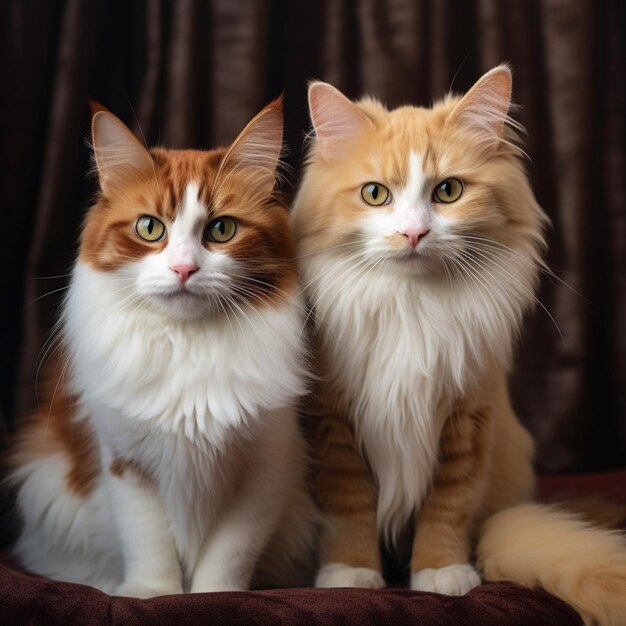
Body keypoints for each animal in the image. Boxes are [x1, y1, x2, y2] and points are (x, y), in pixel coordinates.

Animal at [7, 97, 314, 596]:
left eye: (222, 230)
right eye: (150, 229)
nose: (184, 269)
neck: (188, 345)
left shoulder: (266, 466)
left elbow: (230, 553)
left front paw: (213, 596)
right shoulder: (125, 464)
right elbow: (147, 540)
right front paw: (151, 593)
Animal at [292, 66, 624, 620]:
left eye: (448, 191)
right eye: (375, 195)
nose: (413, 234)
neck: (412, 306)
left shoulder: (468, 418)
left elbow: (446, 505)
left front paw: (441, 573)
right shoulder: (333, 422)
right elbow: (349, 506)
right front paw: (351, 574)